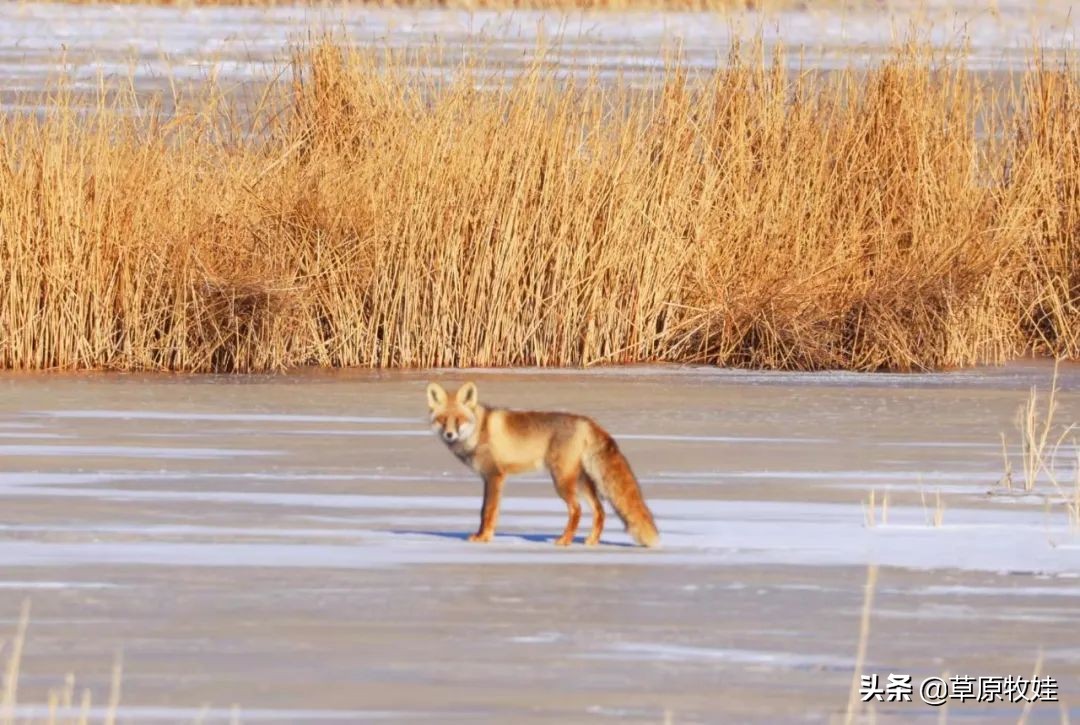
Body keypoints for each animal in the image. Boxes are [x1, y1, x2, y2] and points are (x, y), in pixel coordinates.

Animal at [423, 382, 656, 546]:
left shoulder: (494, 476)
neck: (480, 430)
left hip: (562, 481)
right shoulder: (487, 478)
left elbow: (488, 510)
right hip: (581, 481)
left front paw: (484, 537)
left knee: (577, 509)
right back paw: (591, 541)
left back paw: (564, 541)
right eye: (442, 420)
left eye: (459, 420)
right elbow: (484, 510)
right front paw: (482, 535)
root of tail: (586, 422)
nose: (449, 435)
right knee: (600, 510)